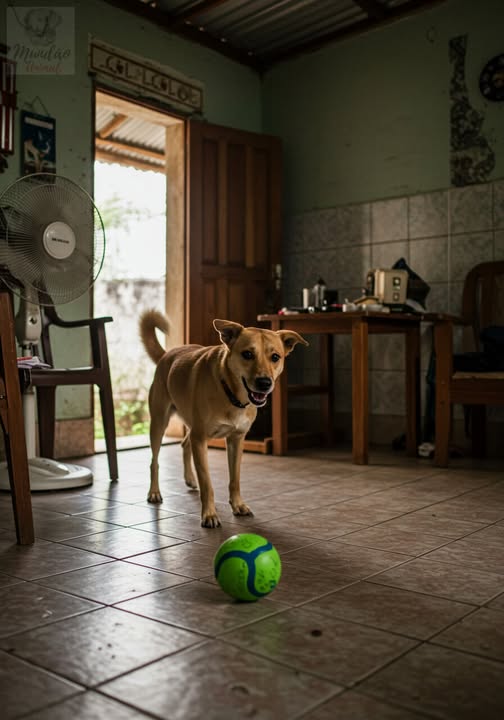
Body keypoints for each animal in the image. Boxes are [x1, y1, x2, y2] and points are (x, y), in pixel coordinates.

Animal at [139, 310, 308, 527]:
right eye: (247, 354)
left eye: (275, 357)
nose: (264, 383)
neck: (230, 392)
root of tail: (166, 354)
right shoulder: (200, 439)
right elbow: (207, 484)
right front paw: (209, 514)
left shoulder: (235, 439)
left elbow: (234, 479)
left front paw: (238, 505)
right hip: (159, 423)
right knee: (155, 461)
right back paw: (154, 492)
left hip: (191, 426)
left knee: (184, 444)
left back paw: (190, 479)